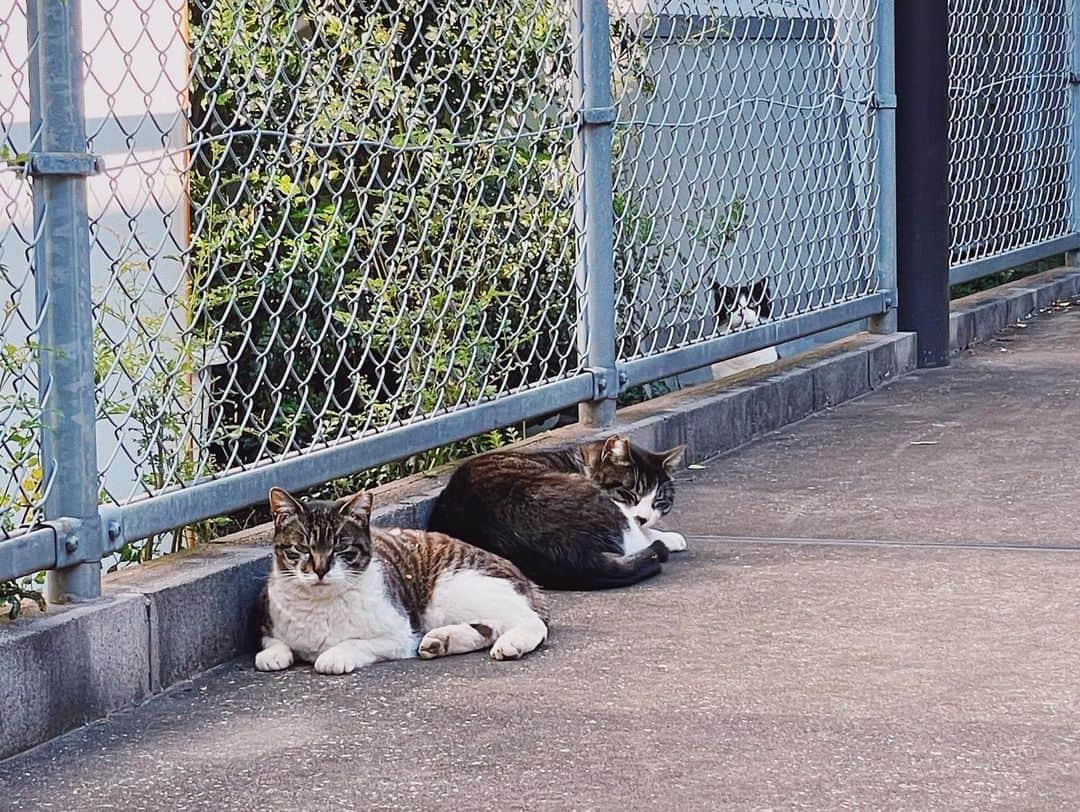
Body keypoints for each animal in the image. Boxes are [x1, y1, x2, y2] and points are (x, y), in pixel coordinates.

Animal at [253, 488, 548, 673]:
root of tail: (520, 574)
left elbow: (355, 643)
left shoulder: (399, 635)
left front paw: (333, 656)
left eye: (340, 548)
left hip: (451, 592)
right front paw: (274, 654)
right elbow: (273, 643)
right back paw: (442, 641)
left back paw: (511, 643)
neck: (319, 605)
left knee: (530, 621)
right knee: (491, 626)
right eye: (301, 548)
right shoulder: (268, 623)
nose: (320, 569)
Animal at [427, 438, 686, 591]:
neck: (581, 461)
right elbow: (640, 534)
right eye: (629, 494)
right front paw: (667, 536)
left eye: (658, 502)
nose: (643, 517)